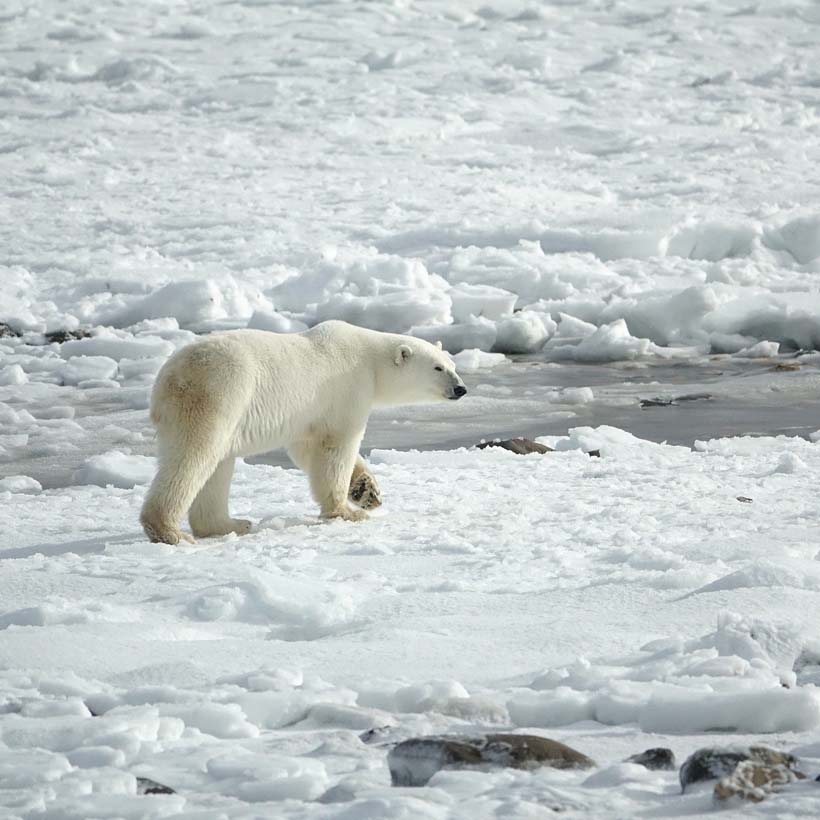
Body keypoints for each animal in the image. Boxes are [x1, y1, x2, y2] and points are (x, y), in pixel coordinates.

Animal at [140, 320, 467, 545]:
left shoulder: (307, 415)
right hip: (219, 395)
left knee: (218, 465)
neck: (370, 360)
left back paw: (231, 524)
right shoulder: (346, 389)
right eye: (438, 368)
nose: (461, 388)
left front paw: (367, 492)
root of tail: (168, 378)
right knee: (195, 457)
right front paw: (347, 511)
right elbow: (336, 447)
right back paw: (170, 531)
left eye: (452, 364)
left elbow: (307, 449)